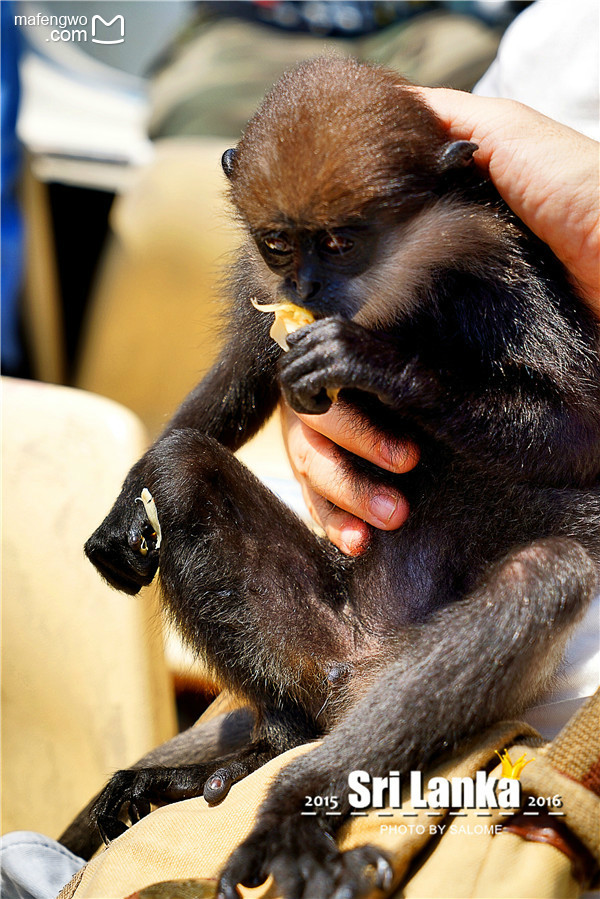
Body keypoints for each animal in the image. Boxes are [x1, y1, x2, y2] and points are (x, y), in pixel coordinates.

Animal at [81, 59, 600, 896]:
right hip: (309, 636)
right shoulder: (263, 284)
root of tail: (358, 669)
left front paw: (371, 361)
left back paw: (297, 802)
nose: (312, 289)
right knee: (181, 465)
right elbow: (241, 375)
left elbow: (582, 429)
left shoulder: (508, 260)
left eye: (343, 241)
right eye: (280, 244)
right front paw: (123, 508)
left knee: (542, 579)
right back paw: (272, 741)